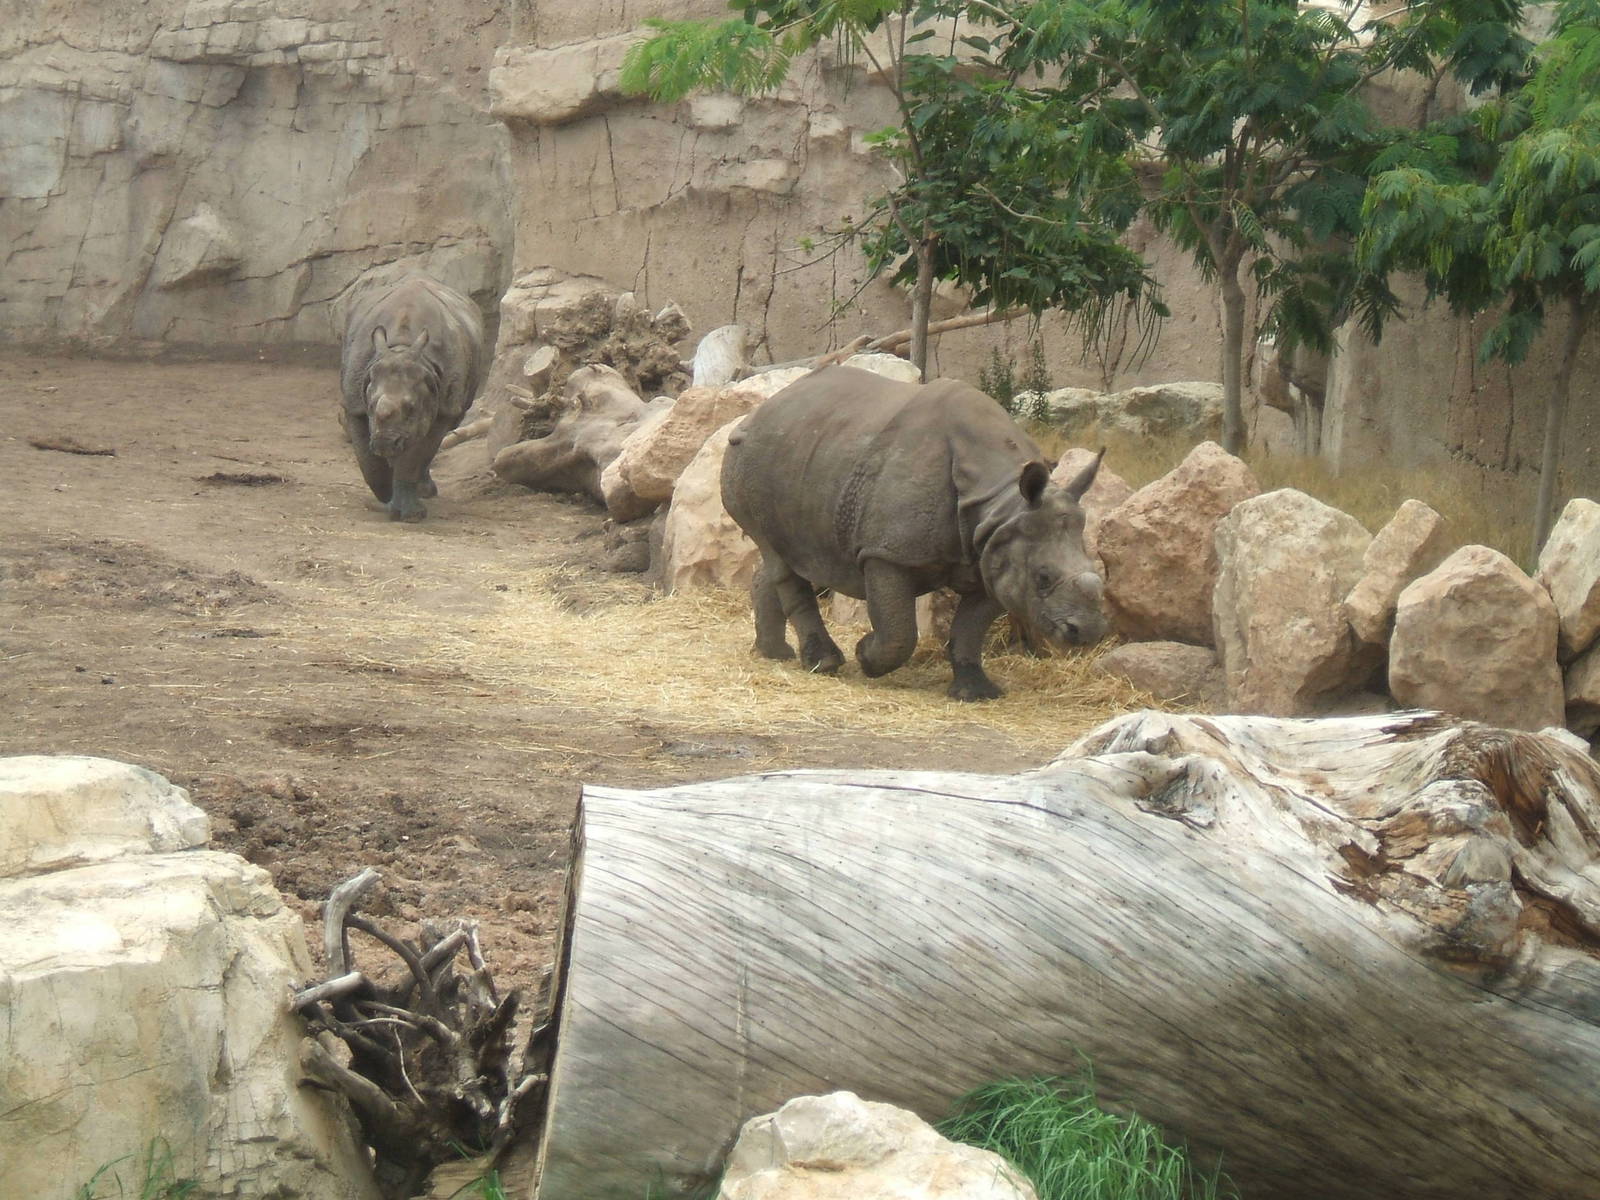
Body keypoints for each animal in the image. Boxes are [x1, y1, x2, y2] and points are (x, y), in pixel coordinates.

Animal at [339, 275, 487, 521]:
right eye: (371, 405)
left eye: (412, 408)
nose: (385, 443)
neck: (401, 348)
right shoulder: (355, 403)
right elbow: (369, 464)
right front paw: (386, 500)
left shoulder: (444, 407)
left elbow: (415, 456)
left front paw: (411, 515)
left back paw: (425, 491)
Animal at [721, 365, 1109, 701]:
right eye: (1043, 577)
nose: (1086, 631)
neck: (1002, 499)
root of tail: (756, 412)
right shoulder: (887, 552)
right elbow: (899, 630)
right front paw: (866, 656)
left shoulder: (993, 550)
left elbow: (969, 629)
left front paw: (976, 693)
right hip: (749, 460)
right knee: (781, 557)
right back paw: (824, 664)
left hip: (808, 457)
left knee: (796, 554)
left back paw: (774, 654)